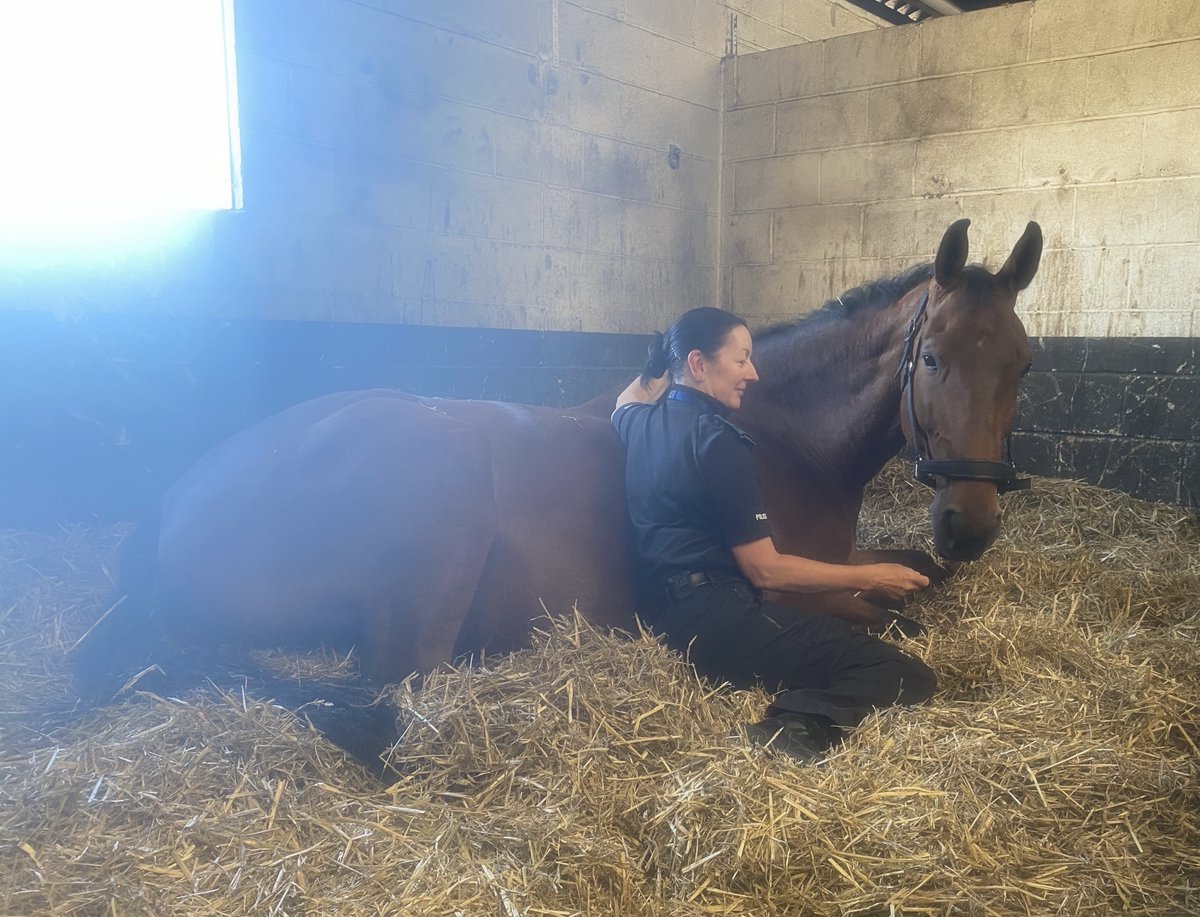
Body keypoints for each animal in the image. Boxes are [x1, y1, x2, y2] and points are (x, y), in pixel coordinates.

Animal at [72, 220, 1041, 700]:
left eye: (1025, 364)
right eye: (931, 359)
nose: (971, 525)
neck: (776, 435)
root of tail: (175, 506)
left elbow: (905, 570)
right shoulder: (792, 585)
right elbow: (891, 604)